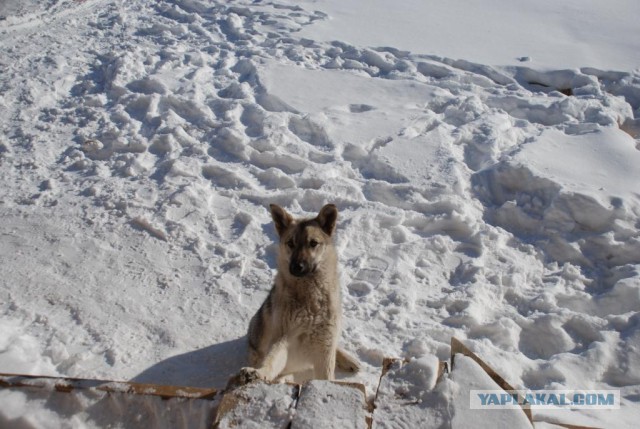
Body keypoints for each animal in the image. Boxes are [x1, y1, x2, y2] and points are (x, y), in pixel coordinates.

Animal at [235, 201, 360, 384]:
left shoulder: (325, 344)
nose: (296, 267)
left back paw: (350, 360)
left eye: (313, 243)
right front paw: (259, 373)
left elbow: (327, 375)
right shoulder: (284, 339)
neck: (310, 301)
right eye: (290, 243)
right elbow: (271, 362)